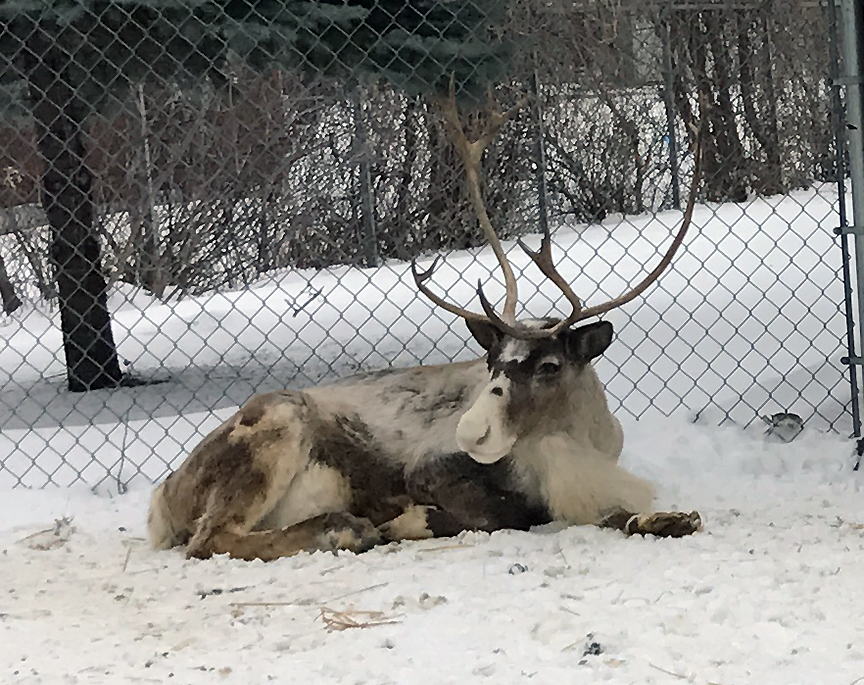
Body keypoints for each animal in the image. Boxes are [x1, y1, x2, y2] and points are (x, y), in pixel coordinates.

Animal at [147, 92, 704, 562]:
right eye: (492, 362)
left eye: (549, 365)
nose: (472, 431)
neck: (578, 438)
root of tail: (163, 496)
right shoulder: (430, 471)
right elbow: (509, 511)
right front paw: (404, 522)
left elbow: (621, 513)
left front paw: (672, 519)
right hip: (275, 428)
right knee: (211, 539)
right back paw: (344, 528)